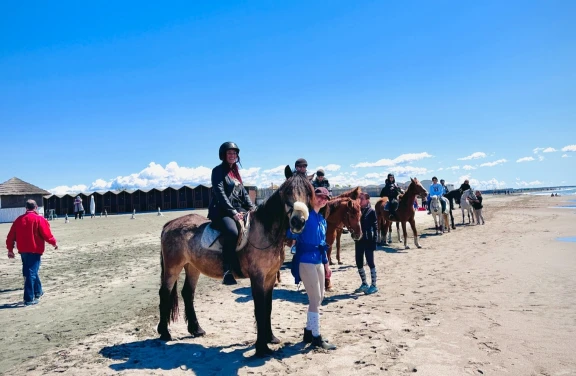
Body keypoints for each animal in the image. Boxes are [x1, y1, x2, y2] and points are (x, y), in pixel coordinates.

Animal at [159, 170, 316, 356]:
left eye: (308, 192)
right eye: (287, 192)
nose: (298, 222)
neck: (265, 231)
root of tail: (170, 224)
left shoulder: (270, 277)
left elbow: (268, 307)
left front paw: (271, 338)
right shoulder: (257, 277)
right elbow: (259, 309)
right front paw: (261, 348)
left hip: (192, 267)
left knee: (187, 294)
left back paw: (196, 329)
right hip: (173, 267)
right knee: (164, 293)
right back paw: (164, 332)